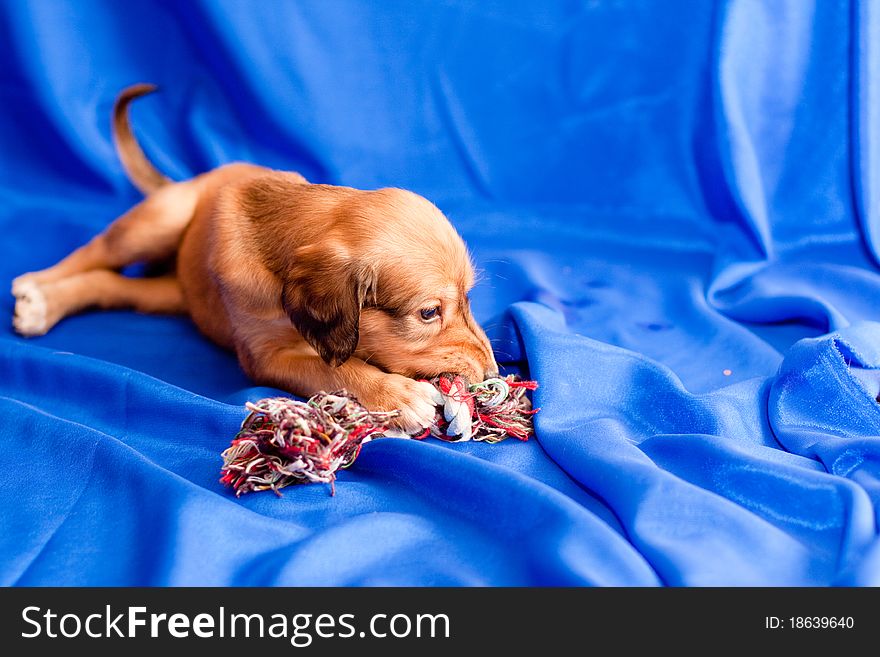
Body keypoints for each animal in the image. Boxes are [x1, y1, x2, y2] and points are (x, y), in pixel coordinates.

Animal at [12, 83, 496, 430]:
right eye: (428, 312)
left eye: (469, 298)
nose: (492, 371)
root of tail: (194, 179)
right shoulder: (266, 356)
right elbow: (338, 368)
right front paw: (398, 396)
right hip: (161, 220)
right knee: (95, 250)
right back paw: (35, 287)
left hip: (176, 295)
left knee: (115, 286)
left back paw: (46, 305)